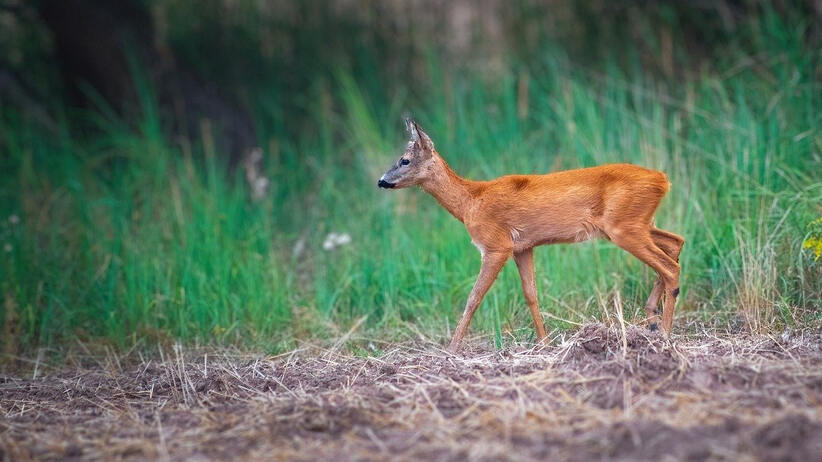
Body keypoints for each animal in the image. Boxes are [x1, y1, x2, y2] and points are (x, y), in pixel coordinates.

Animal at [378, 118, 684, 350]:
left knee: (670, 266)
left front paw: (451, 349)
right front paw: (544, 342)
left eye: (404, 160)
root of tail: (663, 180)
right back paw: (652, 319)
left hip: (624, 227)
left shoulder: (496, 245)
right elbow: (531, 294)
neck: (471, 202)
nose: (381, 181)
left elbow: (473, 297)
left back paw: (665, 333)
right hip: (638, 224)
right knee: (676, 242)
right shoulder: (523, 247)